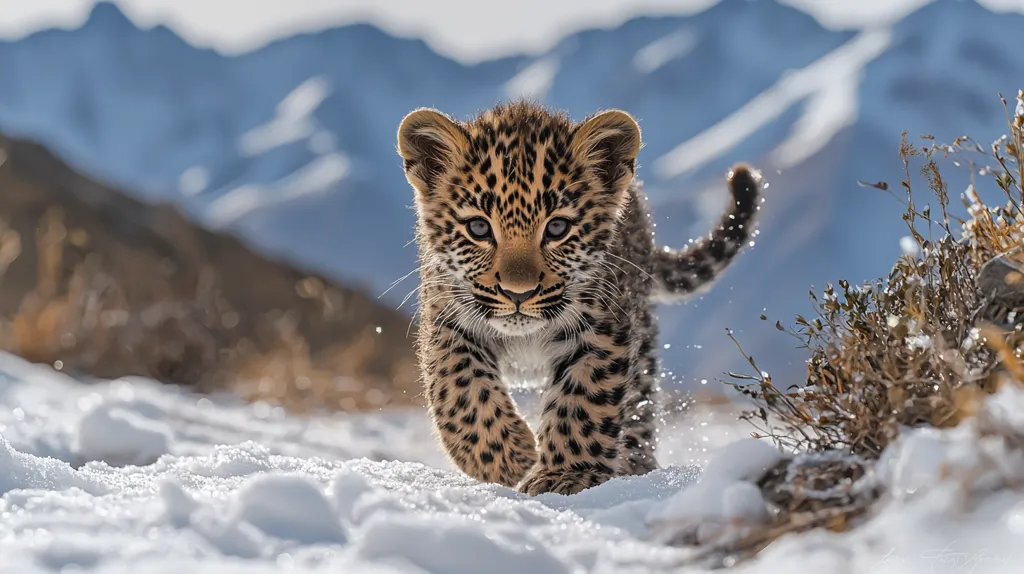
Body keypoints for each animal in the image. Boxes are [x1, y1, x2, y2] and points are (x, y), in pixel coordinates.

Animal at [396, 100, 763, 495]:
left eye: (557, 228)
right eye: (478, 228)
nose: (518, 293)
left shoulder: (602, 327)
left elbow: (582, 401)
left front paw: (565, 475)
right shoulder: (447, 318)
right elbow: (460, 384)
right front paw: (504, 455)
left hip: (644, 342)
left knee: (640, 405)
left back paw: (636, 466)